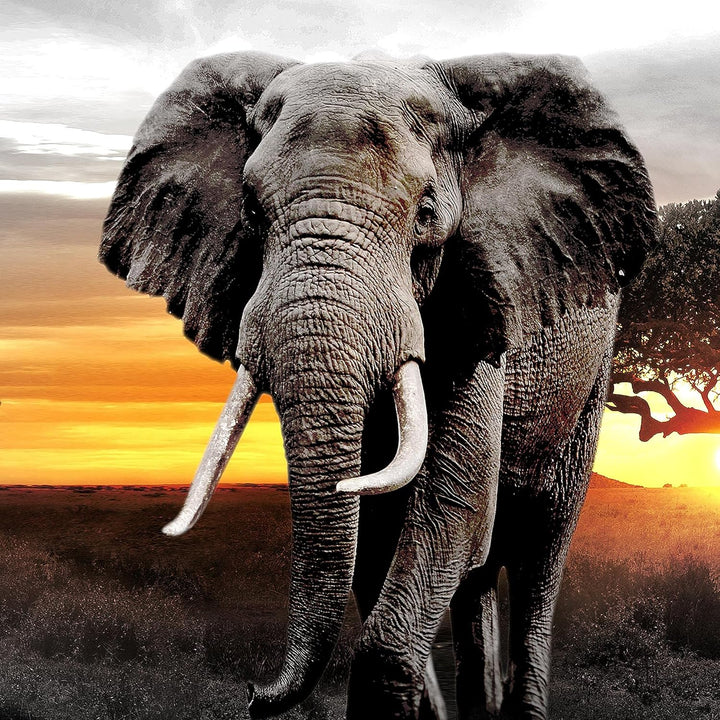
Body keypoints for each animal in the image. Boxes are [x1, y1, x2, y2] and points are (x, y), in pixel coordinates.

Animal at [99, 51, 656, 719]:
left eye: (425, 215)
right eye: (252, 214)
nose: (254, 693)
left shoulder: (475, 305)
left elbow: (457, 498)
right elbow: (384, 528)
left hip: (594, 374)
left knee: (538, 548)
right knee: (474, 577)